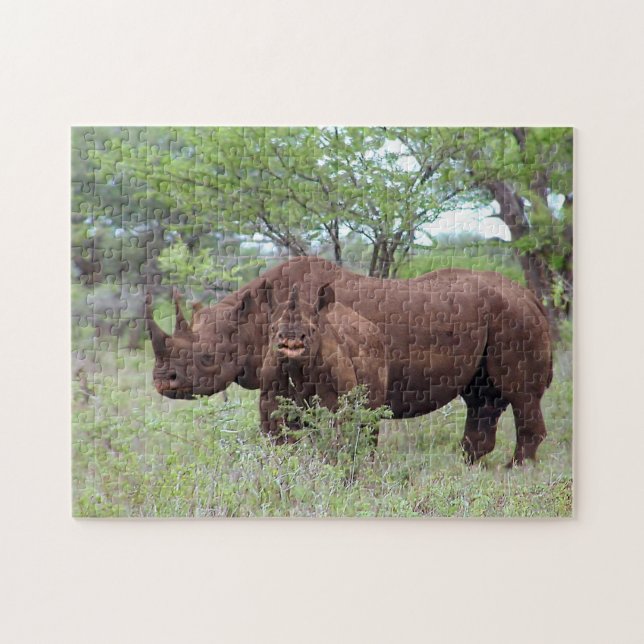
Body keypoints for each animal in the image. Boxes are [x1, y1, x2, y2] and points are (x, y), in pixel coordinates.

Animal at [259, 282, 387, 438]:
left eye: (313, 330)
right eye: (272, 328)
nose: (291, 338)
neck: (296, 367)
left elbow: (332, 426)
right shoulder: (270, 391)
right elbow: (277, 430)